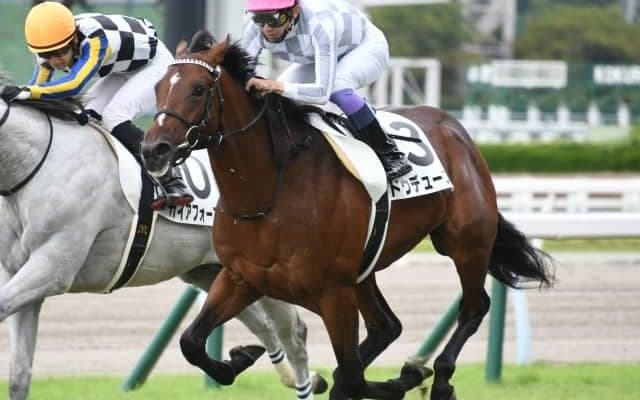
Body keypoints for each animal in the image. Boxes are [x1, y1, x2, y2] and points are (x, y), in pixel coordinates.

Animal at [0, 81, 328, 400]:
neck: (37, 164)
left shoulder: (52, 267)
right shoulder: (21, 273)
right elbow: (19, 376)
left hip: (261, 273)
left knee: (293, 332)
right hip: (210, 272)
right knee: (263, 327)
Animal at [141, 31, 555, 400]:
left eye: (198, 89)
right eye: (158, 87)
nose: (153, 149)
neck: (270, 191)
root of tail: (456, 128)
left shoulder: (333, 292)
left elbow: (353, 378)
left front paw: (403, 378)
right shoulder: (240, 277)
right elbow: (191, 342)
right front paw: (239, 358)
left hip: (465, 242)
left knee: (473, 307)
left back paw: (439, 379)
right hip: (365, 270)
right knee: (386, 326)